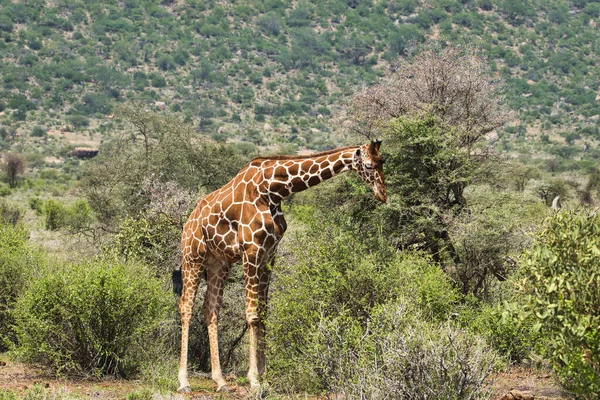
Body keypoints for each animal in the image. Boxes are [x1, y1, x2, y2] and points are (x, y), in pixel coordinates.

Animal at [176, 138, 386, 390]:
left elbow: (264, 313)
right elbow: (252, 314)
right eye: (368, 165)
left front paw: (265, 376)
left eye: (383, 162)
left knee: (211, 309)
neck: (274, 191)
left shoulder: (269, 254)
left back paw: (220, 380)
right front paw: (254, 379)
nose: (383, 195)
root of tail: (187, 223)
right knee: (186, 306)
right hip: (192, 257)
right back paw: (183, 381)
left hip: (218, 263)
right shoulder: (251, 251)